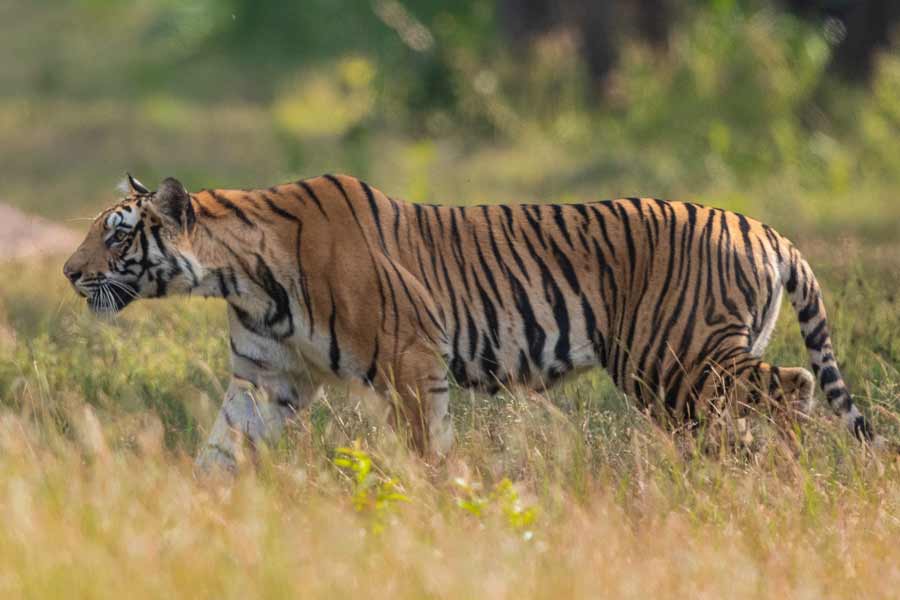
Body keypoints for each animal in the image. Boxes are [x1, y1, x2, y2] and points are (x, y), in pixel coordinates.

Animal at [61, 173, 880, 468]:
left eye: (117, 234)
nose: (68, 272)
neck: (240, 276)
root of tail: (769, 231)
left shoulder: (409, 360)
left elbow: (426, 450)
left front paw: (434, 511)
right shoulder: (267, 379)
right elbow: (220, 451)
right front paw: (188, 518)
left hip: (678, 359)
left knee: (794, 386)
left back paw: (775, 481)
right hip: (679, 377)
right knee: (750, 414)